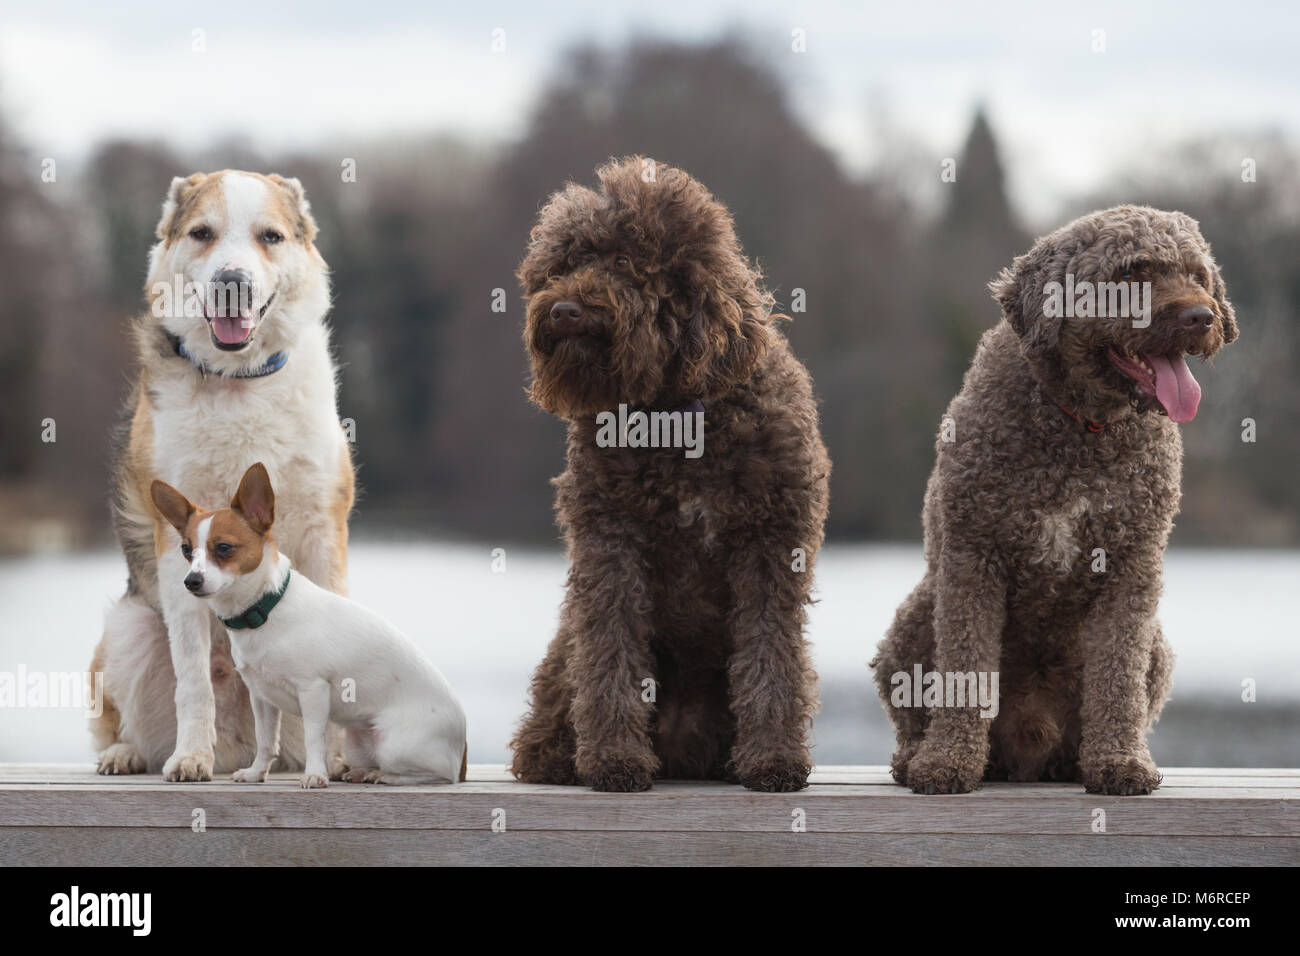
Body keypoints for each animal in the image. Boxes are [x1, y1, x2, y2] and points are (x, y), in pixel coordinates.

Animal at [152, 463, 467, 785]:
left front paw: (315, 775)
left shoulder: (313, 691)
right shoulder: (262, 698)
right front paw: (256, 773)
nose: (191, 580)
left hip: (395, 746)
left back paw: (382, 775)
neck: (265, 609)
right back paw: (362, 771)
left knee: (434, 775)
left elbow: (314, 739)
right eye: (186, 550)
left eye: (224, 547)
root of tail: (463, 752)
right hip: (357, 740)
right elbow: (266, 740)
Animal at [509, 157, 832, 796]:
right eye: (563, 266)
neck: (674, 421)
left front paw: (774, 760)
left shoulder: (771, 548)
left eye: (623, 262)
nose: (562, 310)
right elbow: (610, 653)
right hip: (564, 653)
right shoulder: (610, 547)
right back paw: (556, 755)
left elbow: (772, 658)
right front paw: (613, 760)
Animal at [873, 205, 1237, 796]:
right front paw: (947, 763)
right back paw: (915, 757)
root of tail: (1030, 744)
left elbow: (1117, 680)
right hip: (913, 620)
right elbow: (965, 671)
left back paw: (1080, 761)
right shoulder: (973, 559)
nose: (1202, 317)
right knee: (912, 712)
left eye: (1198, 273)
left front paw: (1119, 763)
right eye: (1132, 271)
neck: (1081, 427)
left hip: (1157, 647)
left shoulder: (1131, 568)